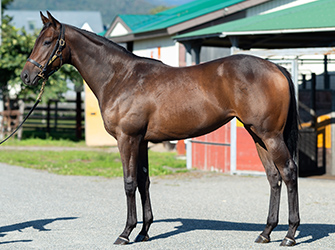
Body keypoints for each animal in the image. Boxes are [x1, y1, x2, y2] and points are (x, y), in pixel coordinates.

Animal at [20, 11, 302, 246]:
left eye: (47, 42)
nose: (25, 76)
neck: (121, 77)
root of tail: (276, 67)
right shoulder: (142, 141)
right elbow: (144, 182)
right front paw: (144, 232)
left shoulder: (127, 139)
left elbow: (129, 182)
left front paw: (125, 233)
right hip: (258, 136)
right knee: (273, 177)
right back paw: (266, 232)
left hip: (271, 136)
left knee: (288, 172)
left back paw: (289, 235)